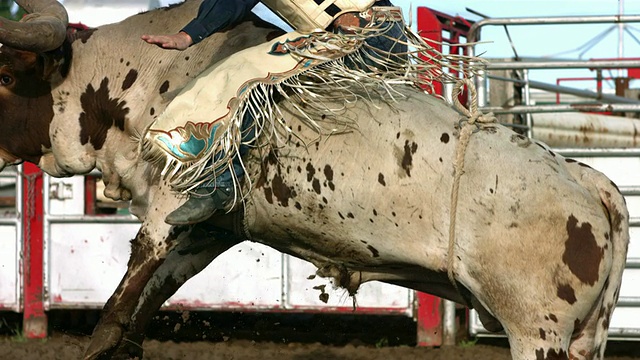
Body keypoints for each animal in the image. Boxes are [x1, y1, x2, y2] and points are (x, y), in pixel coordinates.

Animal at [0, 0, 632, 360]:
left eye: (6, 75)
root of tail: (588, 183)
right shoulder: (212, 230)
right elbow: (155, 290)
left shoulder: (169, 198)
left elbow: (130, 282)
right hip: (581, 339)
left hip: (537, 332)